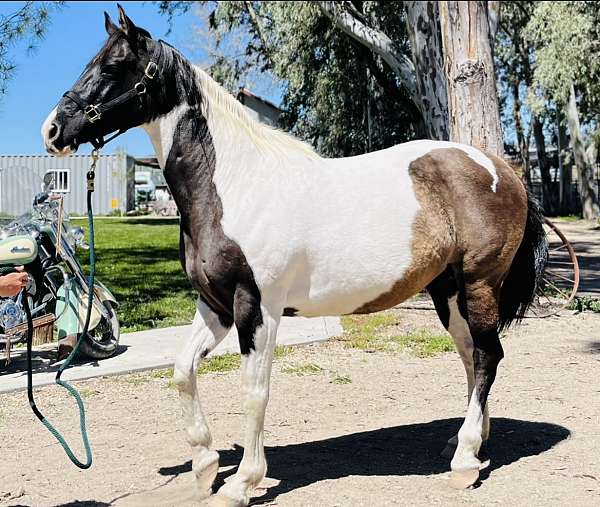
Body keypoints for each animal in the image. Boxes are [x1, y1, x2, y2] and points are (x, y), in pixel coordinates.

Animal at [41, 4, 548, 507]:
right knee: (470, 354)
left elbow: (254, 391)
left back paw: (464, 461)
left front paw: (242, 483)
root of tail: (502, 169)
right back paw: (469, 444)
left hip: (479, 284)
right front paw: (205, 468)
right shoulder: (215, 304)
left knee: (487, 356)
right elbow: (183, 371)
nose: (53, 129)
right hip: (447, 291)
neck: (235, 185)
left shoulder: (256, 306)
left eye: (112, 66)